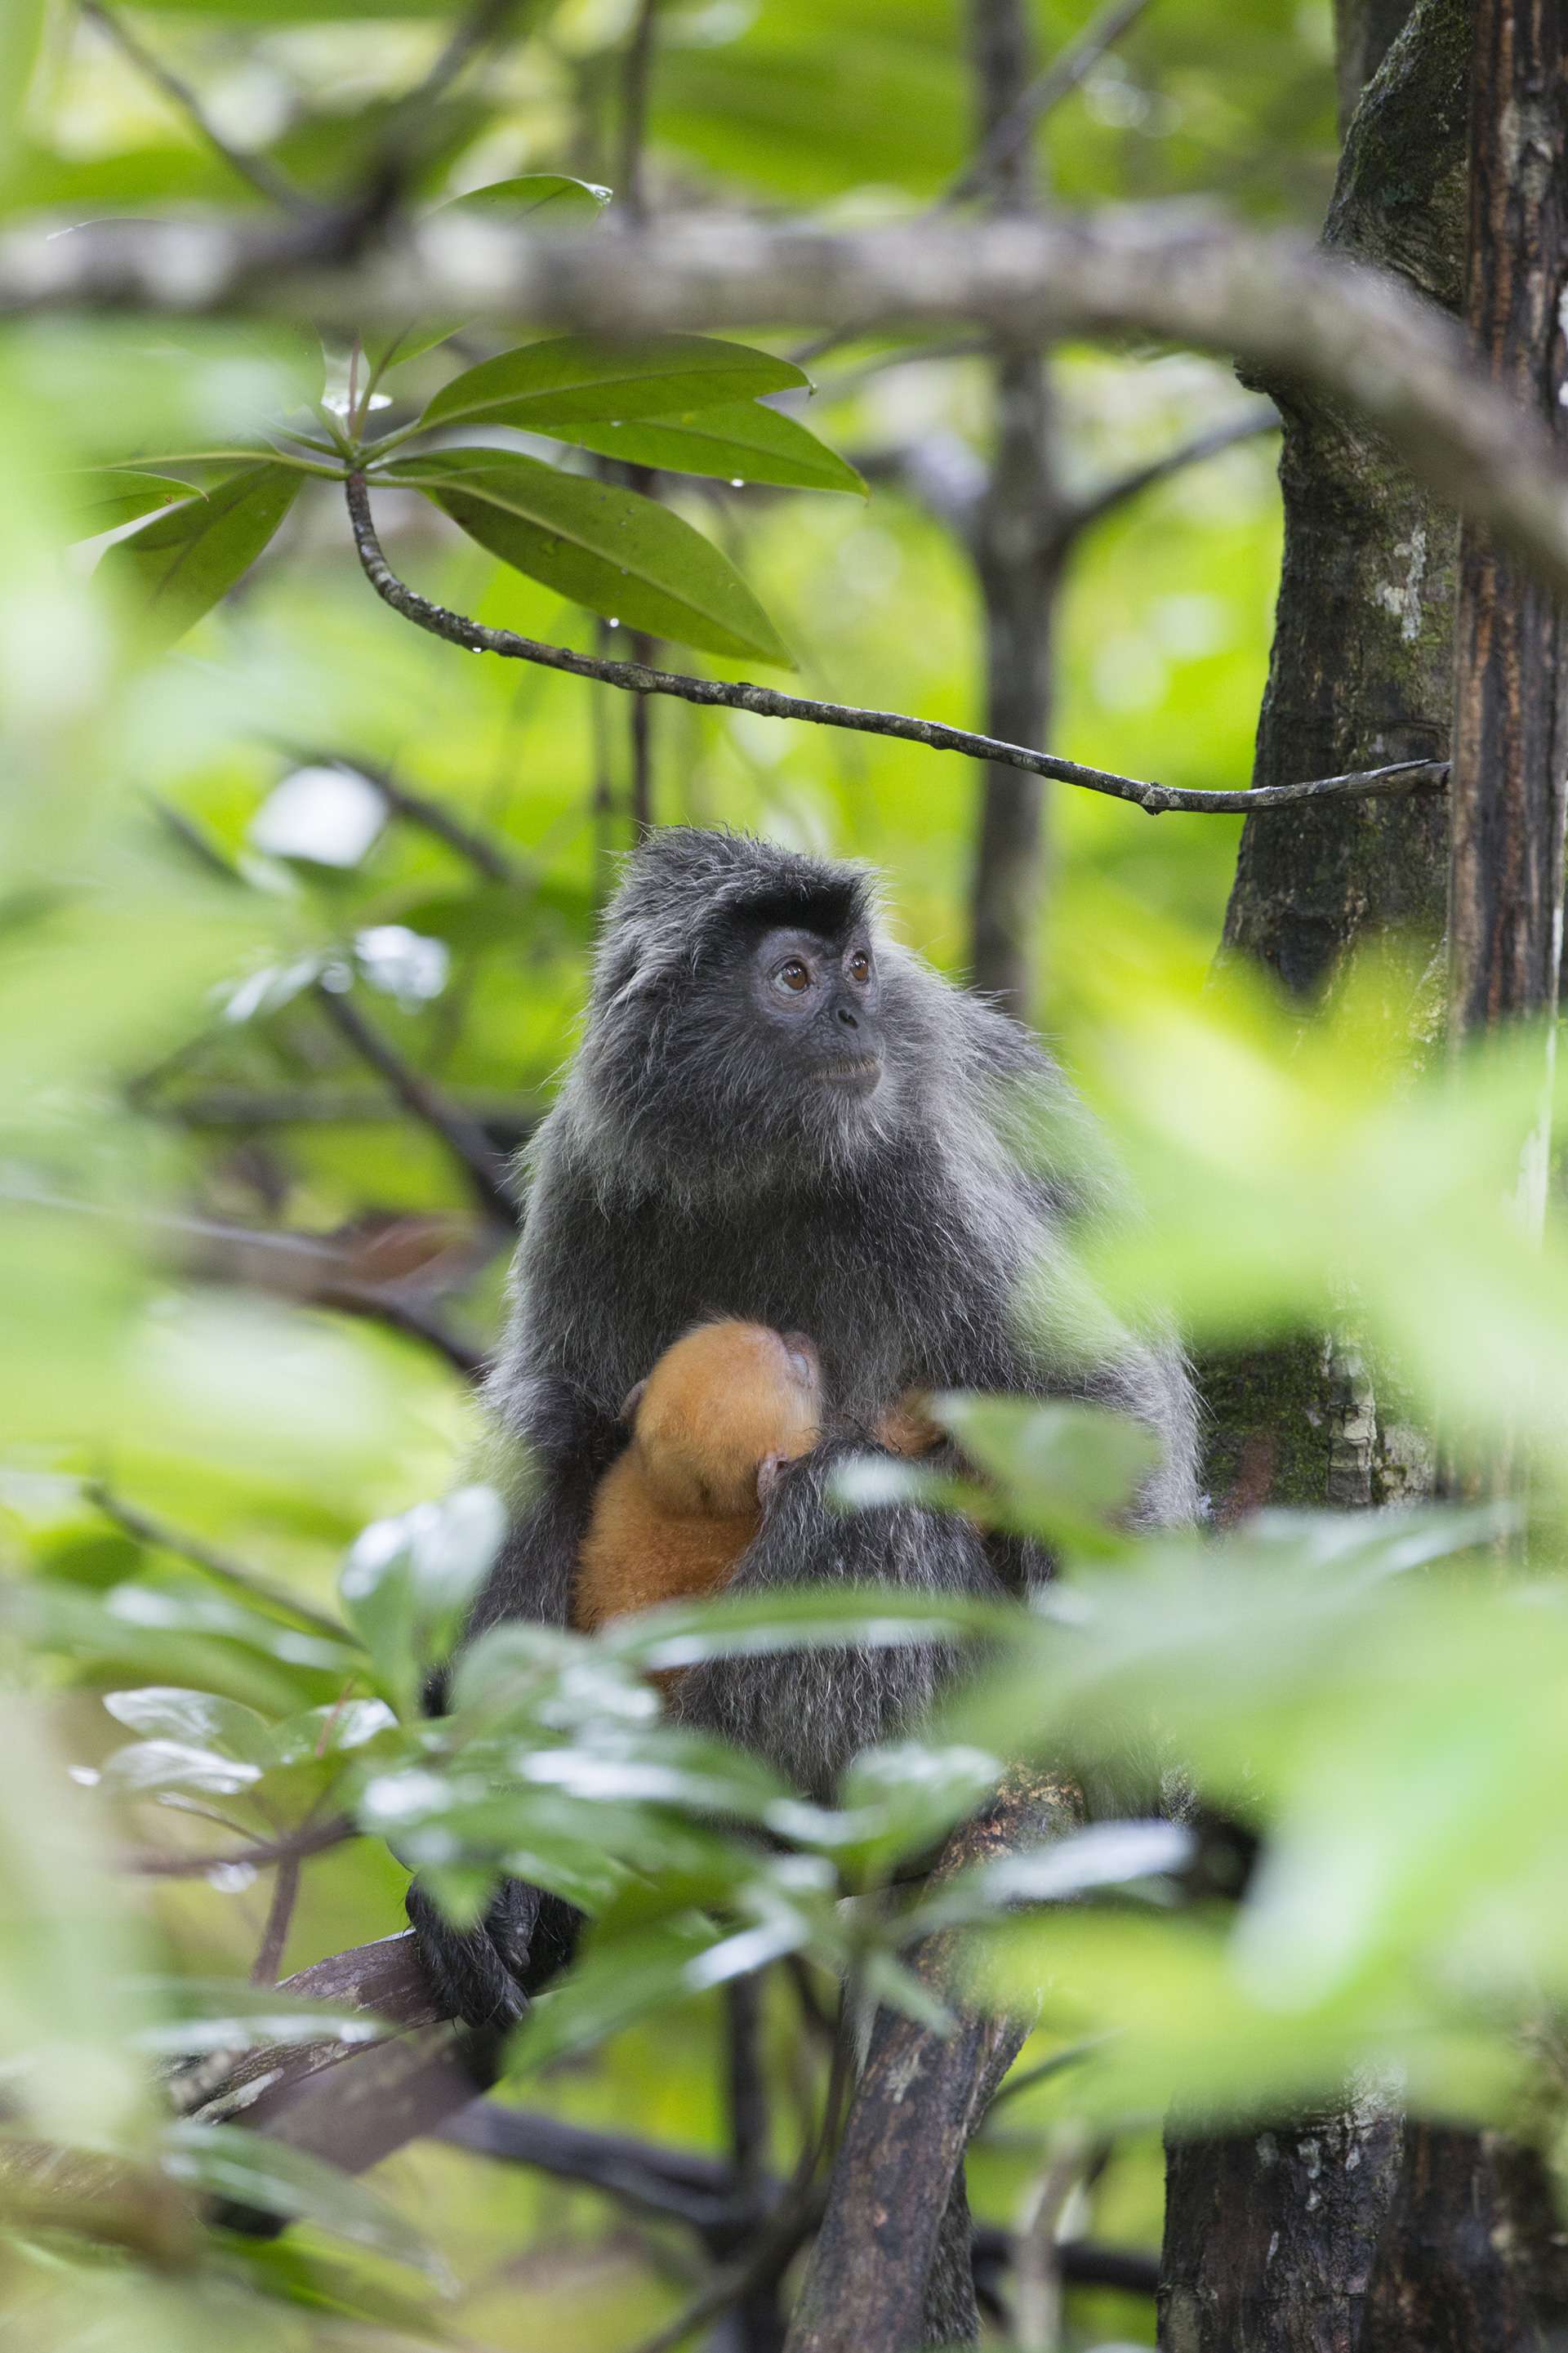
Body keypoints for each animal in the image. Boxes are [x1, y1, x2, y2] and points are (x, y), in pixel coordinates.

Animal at [409, 823, 1191, 2023]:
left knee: (863, 1499)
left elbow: (1095, 1405)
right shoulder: (598, 1164)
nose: (854, 1022)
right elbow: (559, 1417)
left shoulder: (918, 1169)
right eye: (793, 979)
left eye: (859, 971)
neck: (759, 1171)